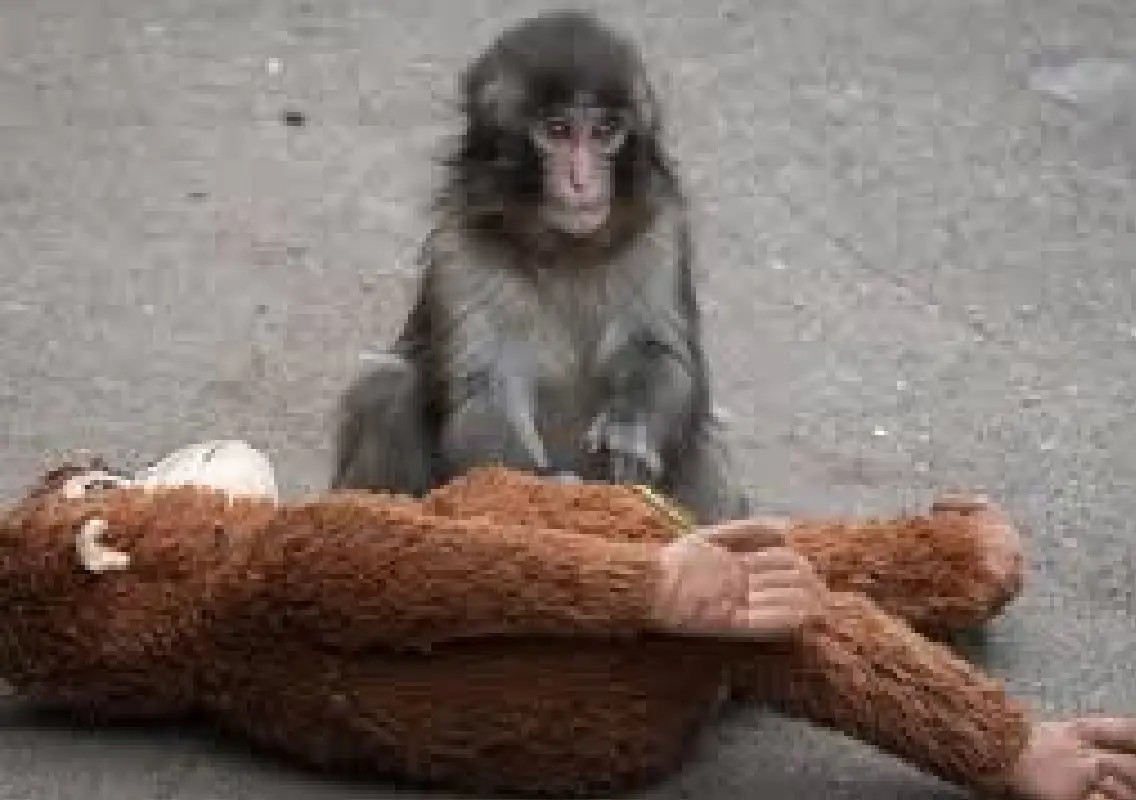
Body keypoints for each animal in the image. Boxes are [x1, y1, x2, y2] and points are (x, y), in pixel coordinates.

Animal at [332, 10, 751, 524]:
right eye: (557, 131)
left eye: (604, 132)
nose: (583, 181)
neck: (564, 249)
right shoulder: (460, 249)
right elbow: (486, 392)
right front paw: (546, 490)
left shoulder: (661, 231)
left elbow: (660, 353)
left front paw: (629, 433)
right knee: (388, 388)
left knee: (707, 446)